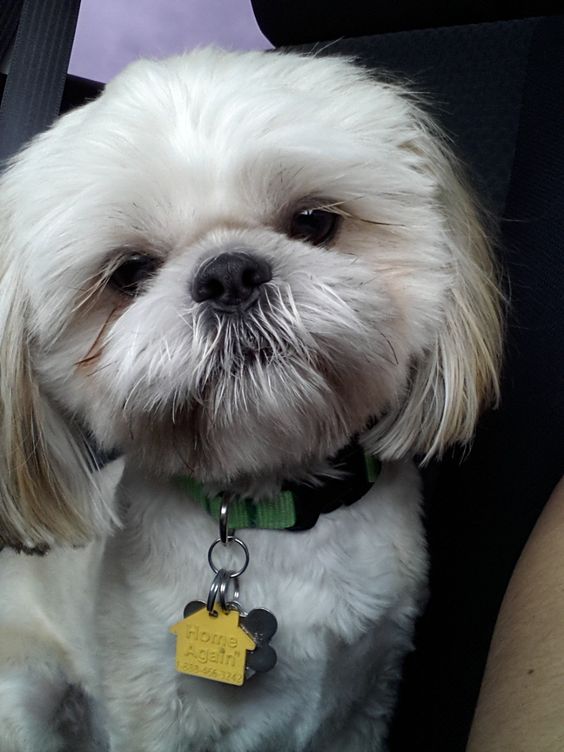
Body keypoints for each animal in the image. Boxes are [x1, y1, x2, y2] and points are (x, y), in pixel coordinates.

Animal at [0, 48, 502, 752]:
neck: (274, 510)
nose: (229, 275)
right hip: (27, 692)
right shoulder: (151, 707)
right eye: (128, 273)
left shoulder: (366, 694)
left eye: (314, 222)